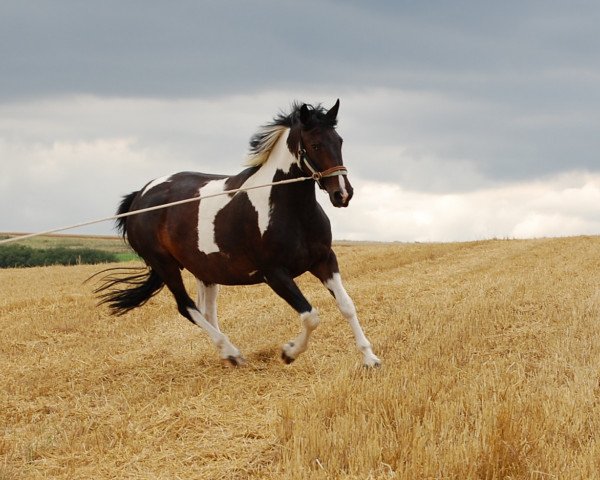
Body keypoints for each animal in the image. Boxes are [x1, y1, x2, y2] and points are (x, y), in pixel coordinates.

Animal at [96, 99, 382, 366]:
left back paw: (228, 355)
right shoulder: (274, 273)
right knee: (187, 307)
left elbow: (347, 306)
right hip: (165, 265)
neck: (290, 210)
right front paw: (288, 352)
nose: (342, 194)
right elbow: (310, 316)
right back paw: (231, 352)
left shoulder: (324, 260)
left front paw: (370, 359)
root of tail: (139, 197)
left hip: (205, 270)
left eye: (339, 141)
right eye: (315, 145)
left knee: (206, 310)